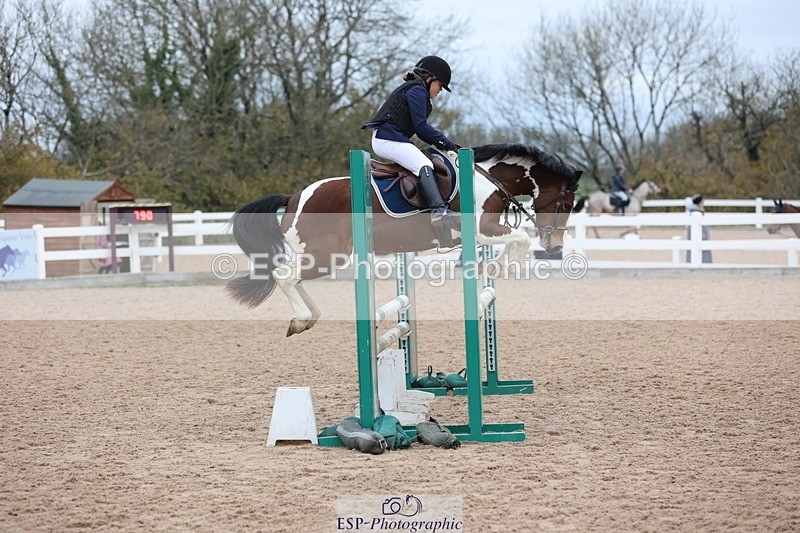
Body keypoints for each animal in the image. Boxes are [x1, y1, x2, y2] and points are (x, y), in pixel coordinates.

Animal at [226, 143, 583, 336]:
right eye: (566, 204)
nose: (555, 247)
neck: (486, 178)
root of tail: (295, 197)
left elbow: (516, 241)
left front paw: (494, 268)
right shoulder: (482, 228)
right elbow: (520, 238)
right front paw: (497, 267)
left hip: (321, 255)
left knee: (293, 276)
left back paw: (309, 316)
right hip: (327, 254)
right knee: (284, 275)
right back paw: (300, 320)